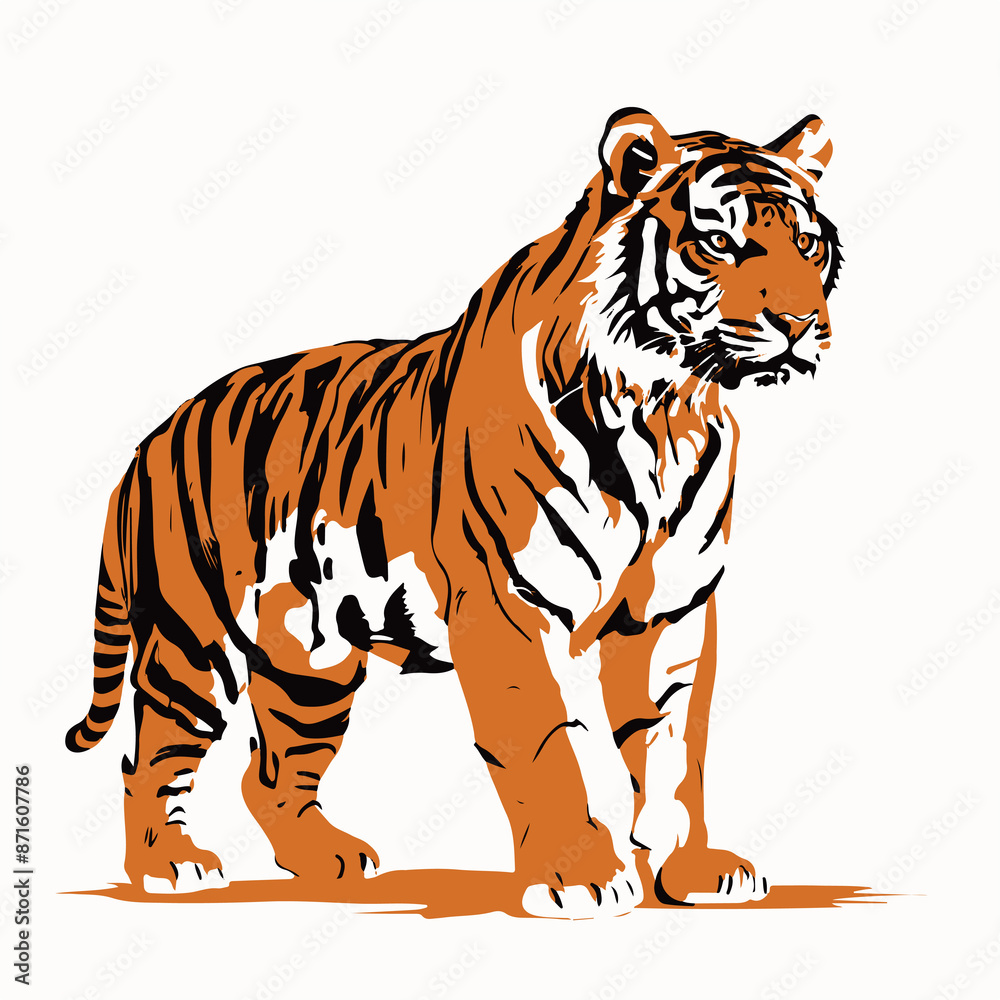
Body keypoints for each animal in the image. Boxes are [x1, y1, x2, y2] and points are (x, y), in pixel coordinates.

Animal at [67, 106, 841, 918]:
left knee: (270, 771)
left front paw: (692, 867)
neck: (665, 410)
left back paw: (326, 860)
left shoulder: (671, 611)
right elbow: (543, 740)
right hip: (196, 637)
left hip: (312, 661)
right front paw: (578, 875)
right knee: (151, 749)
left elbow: (675, 741)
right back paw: (170, 863)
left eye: (807, 243)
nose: (800, 321)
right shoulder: (505, 603)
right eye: (719, 242)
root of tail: (150, 440)